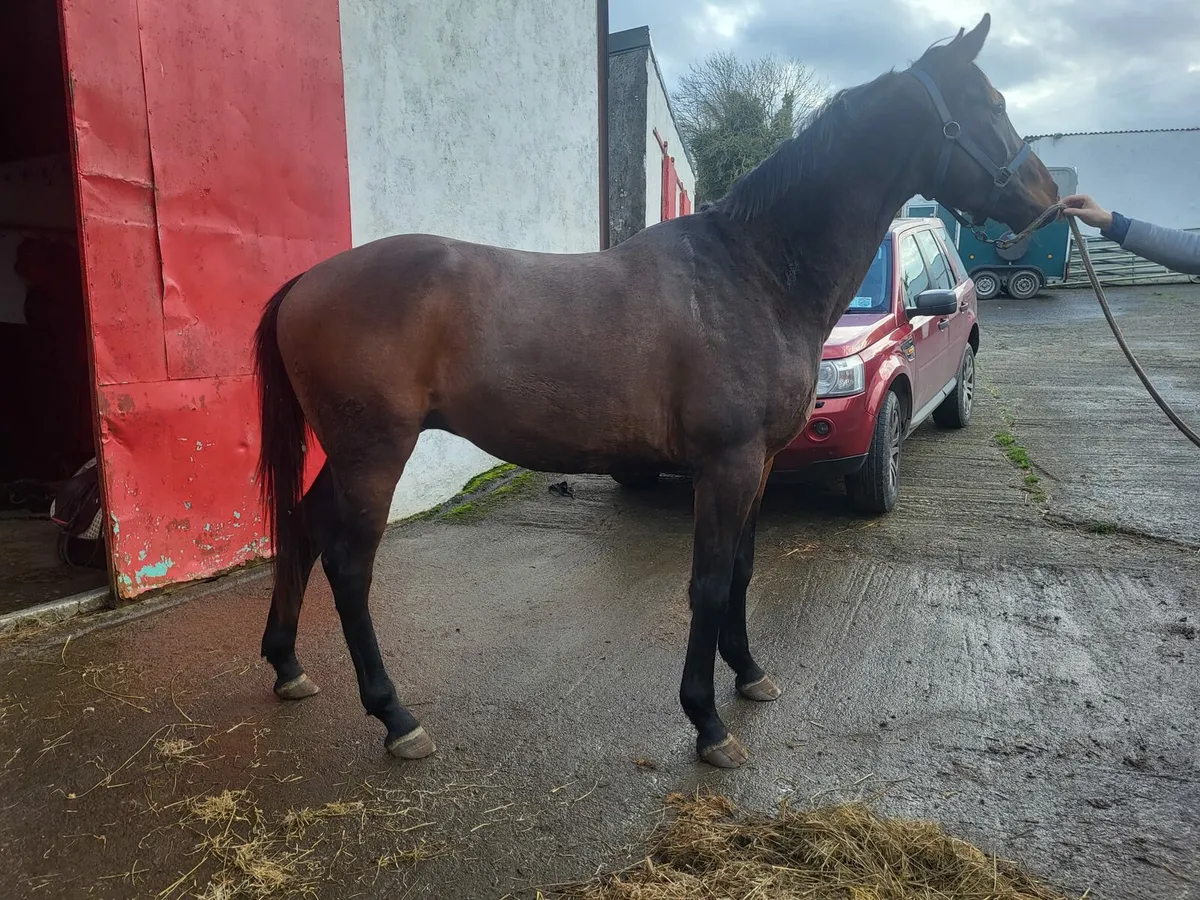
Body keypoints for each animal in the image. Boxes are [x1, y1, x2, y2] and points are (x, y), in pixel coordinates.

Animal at [253, 14, 1059, 768]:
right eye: (989, 102)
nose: (1048, 197)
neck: (752, 273)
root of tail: (306, 281)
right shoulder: (726, 464)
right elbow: (707, 582)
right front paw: (707, 722)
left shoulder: (760, 463)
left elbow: (742, 569)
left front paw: (750, 675)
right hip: (374, 453)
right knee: (349, 565)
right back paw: (396, 718)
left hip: (348, 452)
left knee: (301, 526)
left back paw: (288, 666)